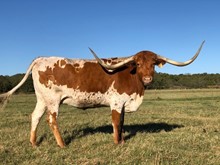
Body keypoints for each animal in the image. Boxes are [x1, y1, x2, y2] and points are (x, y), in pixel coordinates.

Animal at [0, 41, 205, 147]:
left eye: (153, 63)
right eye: (138, 63)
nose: (147, 79)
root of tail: (41, 58)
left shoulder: (123, 103)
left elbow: (122, 122)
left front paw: (121, 141)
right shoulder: (116, 102)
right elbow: (115, 122)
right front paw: (116, 143)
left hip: (42, 99)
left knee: (35, 116)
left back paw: (34, 143)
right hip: (52, 100)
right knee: (51, 120)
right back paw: (62, 145)